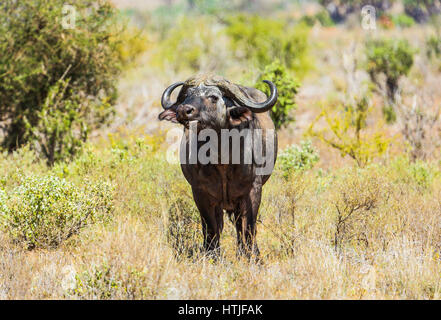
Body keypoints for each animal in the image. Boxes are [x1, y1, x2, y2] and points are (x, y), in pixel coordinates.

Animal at [158, 74, 276, 258]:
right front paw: (212, 255)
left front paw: (254, 256)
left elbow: (249, 227)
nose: (184, 110)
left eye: (213, 97)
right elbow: (211, 228)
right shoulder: (200, 193)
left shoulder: (254, 190)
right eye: (187, 96)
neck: (222, 160)